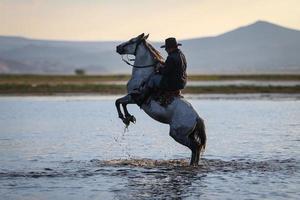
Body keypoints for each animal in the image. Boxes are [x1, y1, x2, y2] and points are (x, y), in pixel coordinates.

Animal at [115, 33, 206, 166]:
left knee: (195, 147)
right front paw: (129, 118)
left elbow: (118, 102)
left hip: (177, 134)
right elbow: (121, 103)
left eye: (132, 40)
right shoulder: (131, 97)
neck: (143, 75)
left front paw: (124, 117)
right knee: (197, 148)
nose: (118, 47)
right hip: (187, 135)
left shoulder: (134, 97)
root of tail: (196, 117)